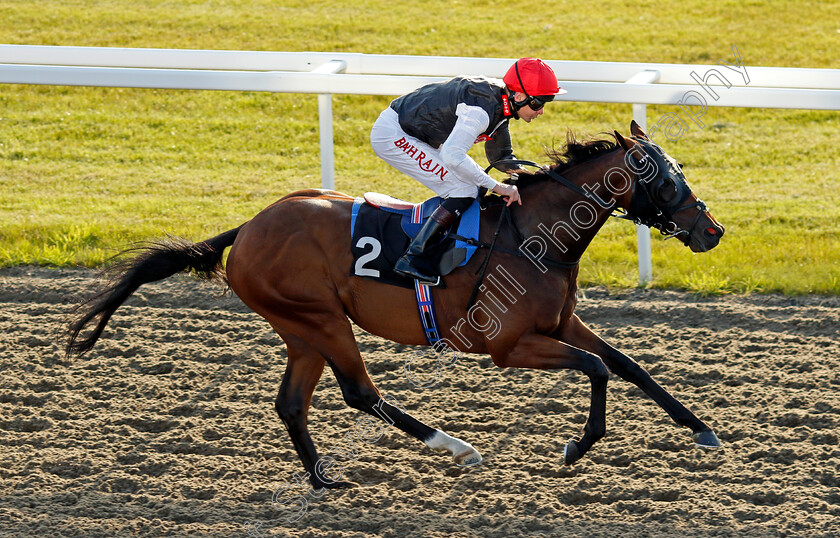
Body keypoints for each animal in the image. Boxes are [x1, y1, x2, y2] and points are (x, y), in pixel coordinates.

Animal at [65, 120, 724, 486]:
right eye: (667, 180)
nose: (712, 231)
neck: (536, 235)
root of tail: (248, 228)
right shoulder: (508, 345)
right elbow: (594, 369)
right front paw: (578, 445)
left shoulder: (561, 322)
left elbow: (628, 366)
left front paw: (704, 431)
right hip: (322, 318)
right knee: (360, 392)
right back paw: (455, 447)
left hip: (300, 327)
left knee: (291, 404)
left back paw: (324, 482)